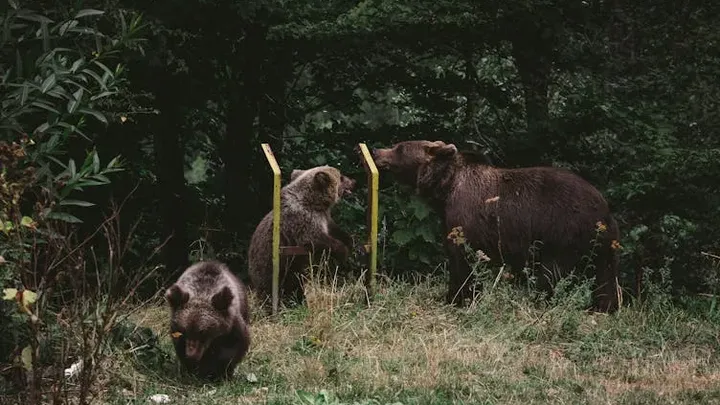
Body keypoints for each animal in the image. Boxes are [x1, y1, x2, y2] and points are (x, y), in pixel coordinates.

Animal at [248, 165, 356, 307]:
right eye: (341, 177)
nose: (354, 181)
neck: (315, 203)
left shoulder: (325, 218)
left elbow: (334, 230)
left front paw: (350, 241)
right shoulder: (302, 220)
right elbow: (314, 239)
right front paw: (343, 251)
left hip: (293, 270)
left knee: (295, 287)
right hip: (269, 266)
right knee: (270, 290)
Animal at [372, 140, 621, 313]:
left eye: (400, 147)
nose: (375, 151)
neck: (445, 189)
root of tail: (604, 208)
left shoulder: (465, 217)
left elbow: (461, 260)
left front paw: (457, 298)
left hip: (563, 232)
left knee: (551, 273)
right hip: (601, 244)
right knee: (605, 275)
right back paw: (604, 307)